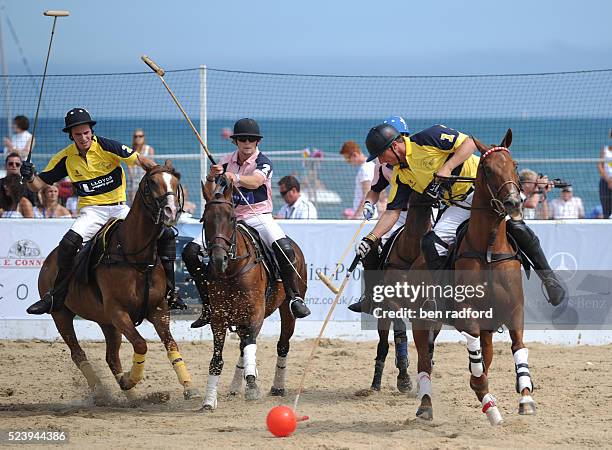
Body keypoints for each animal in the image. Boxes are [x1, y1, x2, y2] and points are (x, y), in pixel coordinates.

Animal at [38, 160, 200, 402]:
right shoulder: (118, 311)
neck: (135, 257)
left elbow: (171, 344)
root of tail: (49, 259)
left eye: (175, 182)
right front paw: (130, 380)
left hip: (106, 322)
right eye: (152, 183)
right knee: (78, 353)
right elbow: (141, 344)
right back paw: (101, 391)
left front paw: (189, 386)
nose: (171, 211)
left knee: (111, 356)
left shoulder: (158, 308)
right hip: (61, 315)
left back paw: (131, 397)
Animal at [200, 176, 306, 412]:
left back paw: (277, 387)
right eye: (204, 219)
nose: (218, 260)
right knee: (242, 345)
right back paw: (234, 386)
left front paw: (252, 384)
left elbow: (250, 343)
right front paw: (209, 400)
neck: (232, 271)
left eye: (231, 218)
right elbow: (216, 360)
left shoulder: (255, 312)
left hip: (287, 309)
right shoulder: (219, 318)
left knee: (282, 344)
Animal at [412, 130, 536, 426]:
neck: (488, 249)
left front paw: (526, 397)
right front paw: (485, 394)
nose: (514, 203)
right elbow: (475, 362)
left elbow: (518, 348)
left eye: (514, 165)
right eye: (488, 170)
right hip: (421, 320)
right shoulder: (467, 313)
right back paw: (426, 404)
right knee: (424, 363)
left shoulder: (514, 309)